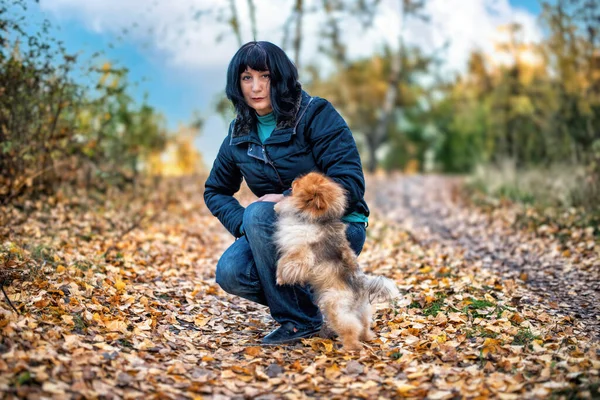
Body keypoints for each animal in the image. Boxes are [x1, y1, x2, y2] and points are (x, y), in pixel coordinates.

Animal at [276, 172, 398, 350]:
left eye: (300, 183)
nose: (293, 180)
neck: (317, 219)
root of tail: (362, 285)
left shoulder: (301, 252)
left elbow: (286, 263)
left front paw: (279, 277)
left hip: (335, 307)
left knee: (351, 328)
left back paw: (349, 347)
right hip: (361, 310)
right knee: (364, 325)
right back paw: (367, 337)